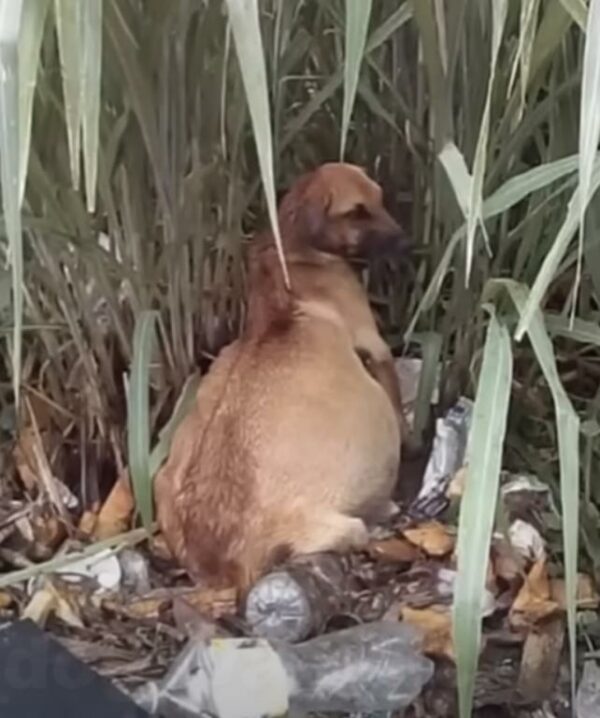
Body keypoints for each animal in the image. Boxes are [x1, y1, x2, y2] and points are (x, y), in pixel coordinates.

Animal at [152, 163, 410, 592]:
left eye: (380, 197)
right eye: (357, 211)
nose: (405, 241)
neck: (289, 251)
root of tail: (224, 564)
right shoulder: (375, 347)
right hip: (341, 523)